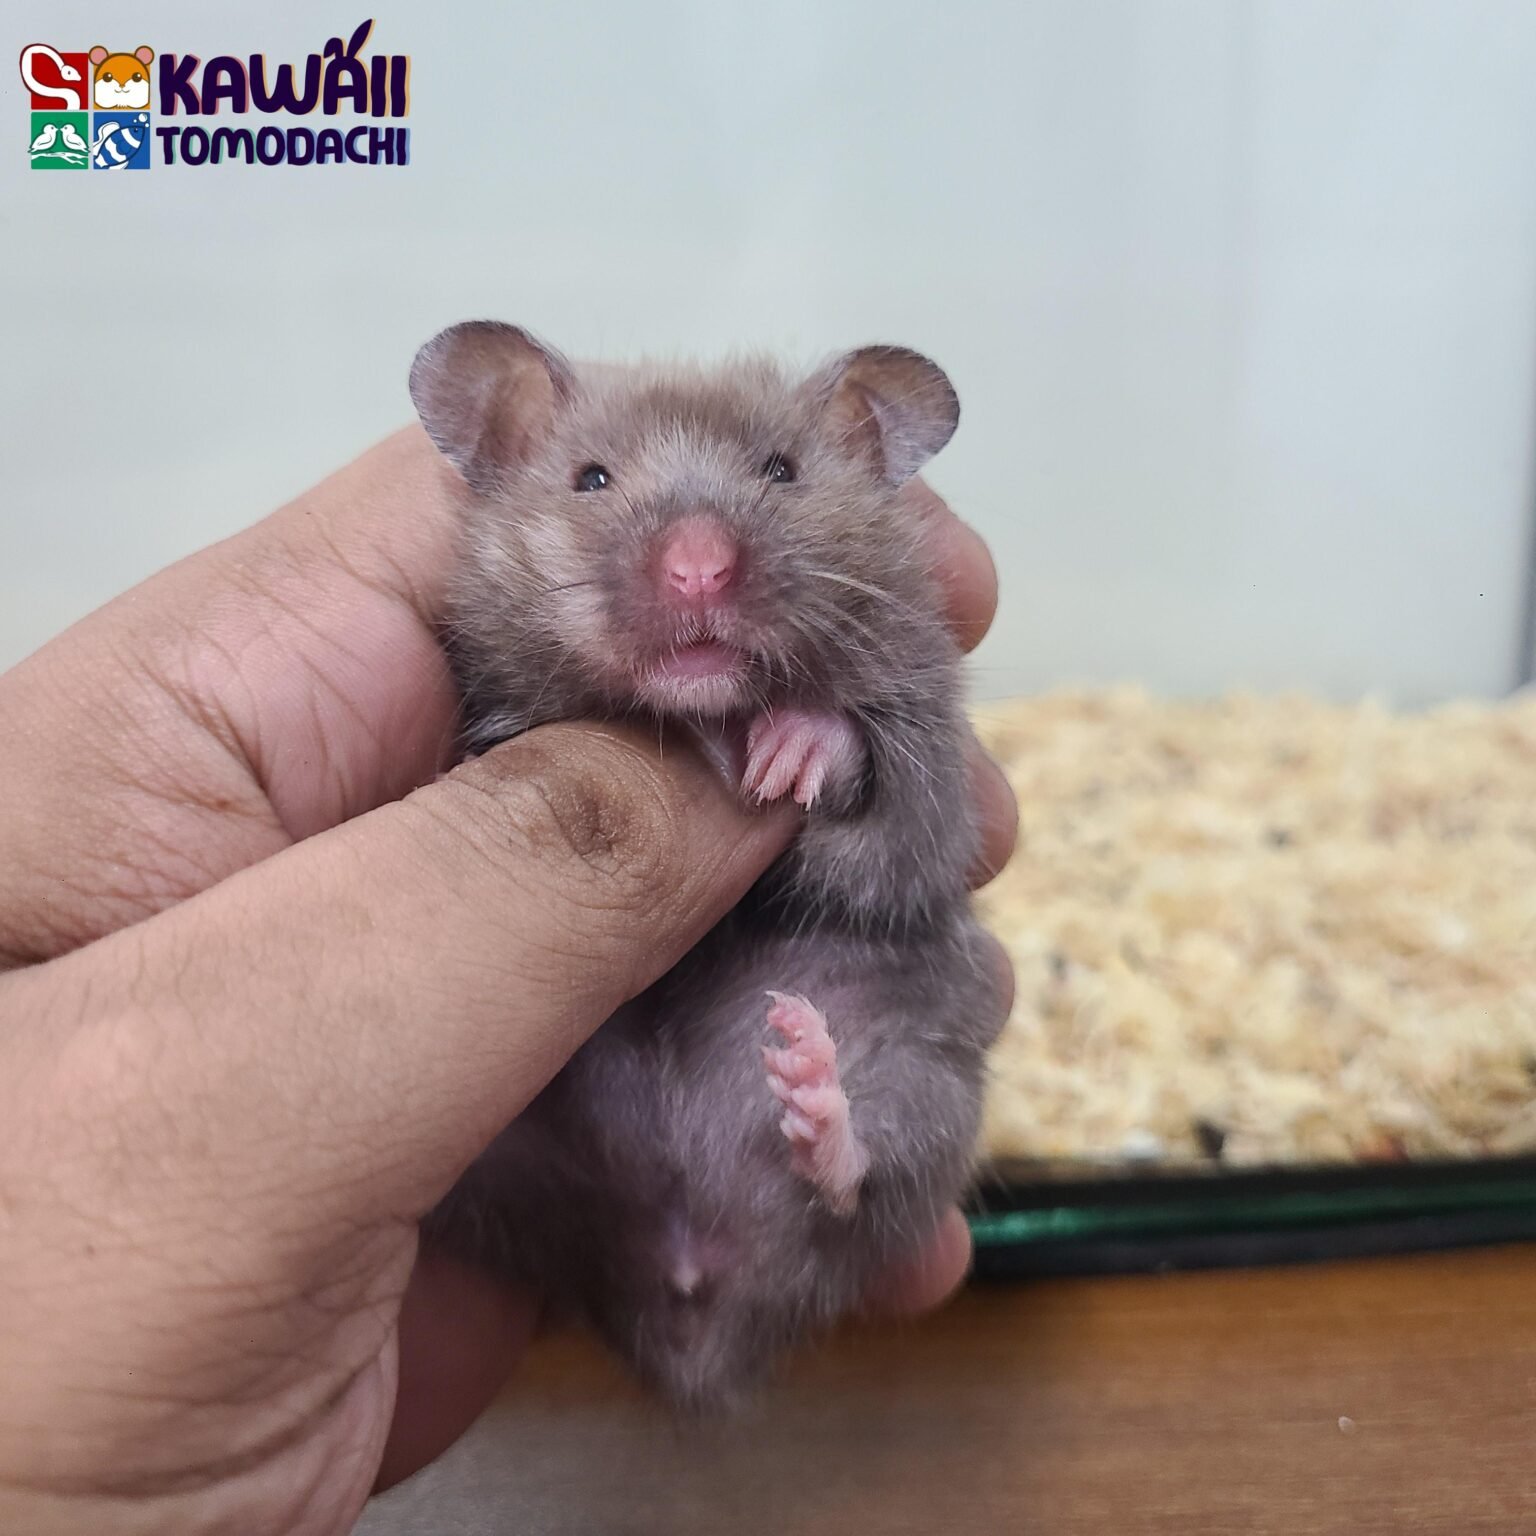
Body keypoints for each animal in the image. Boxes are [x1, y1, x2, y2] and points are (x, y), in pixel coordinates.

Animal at [410, 323, 1005, 1409]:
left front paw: (784, 753)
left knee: (856, 1187)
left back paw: (810, 1087)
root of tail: (689, 1303)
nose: (697, 572)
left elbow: (885, 802)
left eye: (782, 471)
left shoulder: (930, 769)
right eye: (591, 479)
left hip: (931, 1066)